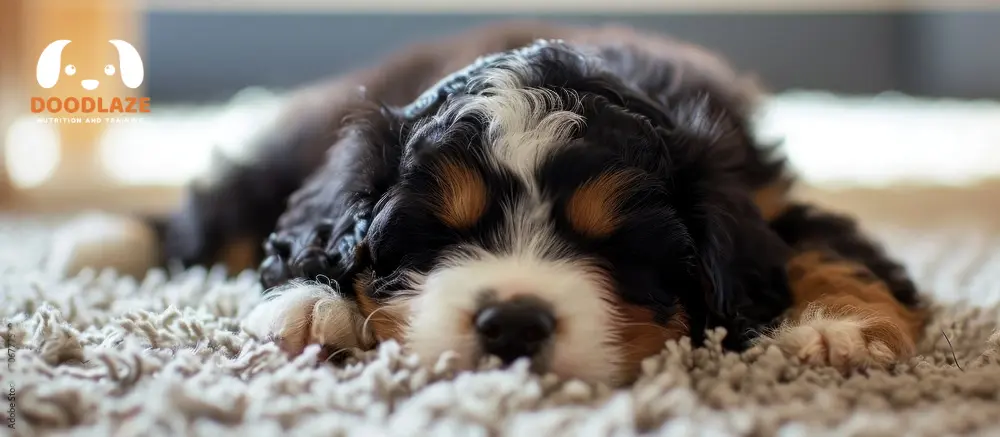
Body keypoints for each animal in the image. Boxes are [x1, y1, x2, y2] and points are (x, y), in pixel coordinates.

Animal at [58, 22, 924, 384]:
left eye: (617, 248)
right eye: (438, 234)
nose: (512, 323)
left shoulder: (763, 194)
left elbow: (828, 248)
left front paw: (837, 329)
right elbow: (310, 235)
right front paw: (307, 306)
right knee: (227, 205)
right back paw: (101, 240)